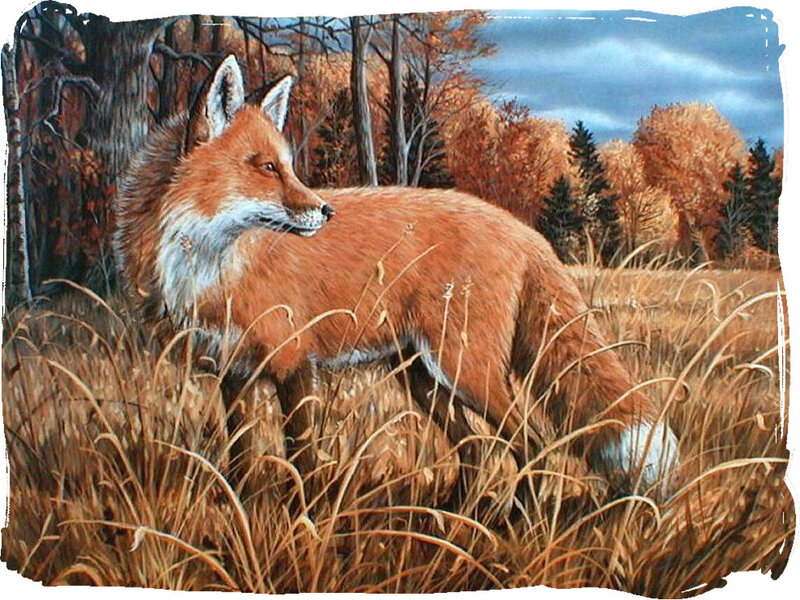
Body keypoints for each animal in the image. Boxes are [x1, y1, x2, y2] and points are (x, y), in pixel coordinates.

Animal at [114, 55, 679, 501]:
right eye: (267, 167)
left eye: (288, 167)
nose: (325, 212)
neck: (209, 265)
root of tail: (522, 229)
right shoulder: (234, 374)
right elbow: (239, 463)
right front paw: (246, 517)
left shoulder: (296, 364)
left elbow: (302, 459)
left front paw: (305, 525)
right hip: (423, 378)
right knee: (475, 447)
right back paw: (455, 518)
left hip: (465, 371)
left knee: (530, 443)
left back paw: (518, 522)